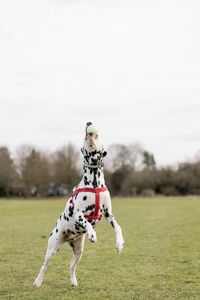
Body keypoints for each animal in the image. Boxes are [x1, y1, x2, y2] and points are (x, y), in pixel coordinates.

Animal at [34, 122, 124, 288]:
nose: (89, 123)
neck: (94, 182)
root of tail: (68, 238)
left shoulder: (109, 214)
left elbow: (118, 227)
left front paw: (119, 244)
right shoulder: (78, 213)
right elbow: (86, 223)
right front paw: (92, 234)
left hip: (78, 251)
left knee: (71, 265)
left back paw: (73, 281)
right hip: (52, 248)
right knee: (44, 265)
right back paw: (37, 281)